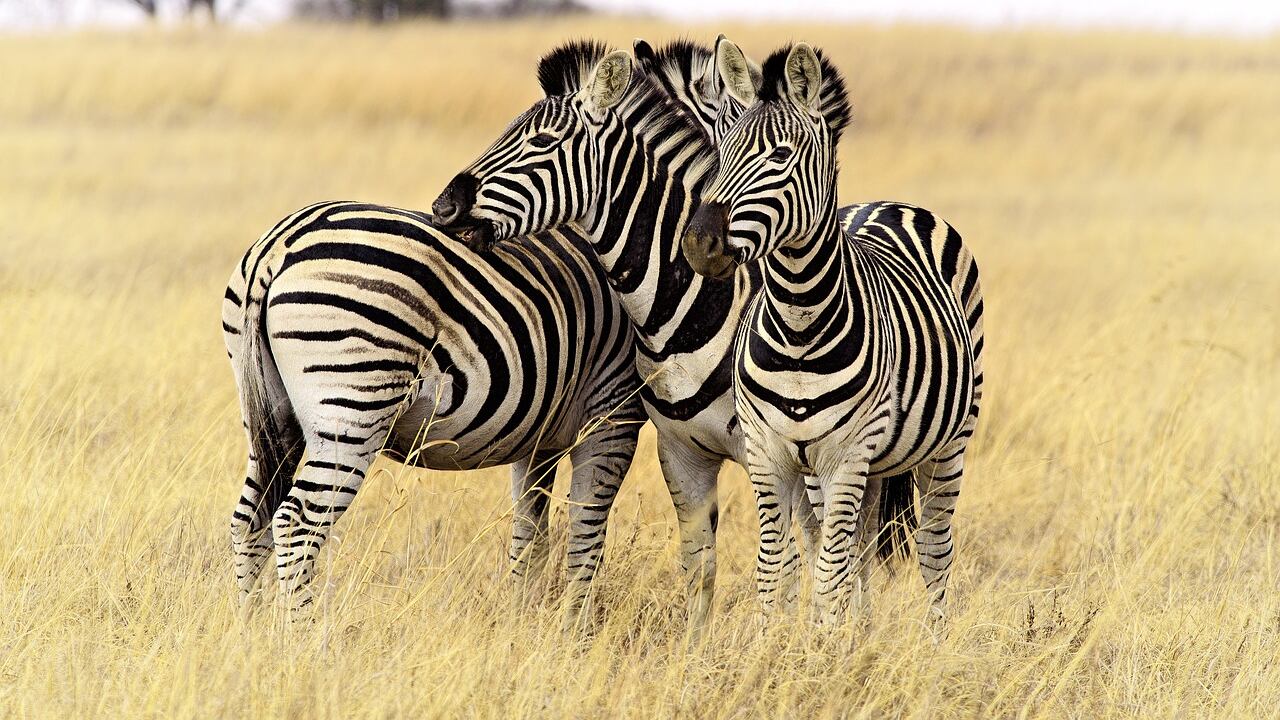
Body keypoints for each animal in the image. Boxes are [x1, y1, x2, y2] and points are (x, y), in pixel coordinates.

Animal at [222, 200, 646, 621]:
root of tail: (277, 245)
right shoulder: (614, 408)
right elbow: (586, 532)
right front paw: (575, 625)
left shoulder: (540, 436)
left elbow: (530, 535)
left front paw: (522, 619)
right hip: (353, 409)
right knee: (295, 524)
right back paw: (303, 634)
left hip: (273, 418)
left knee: (250, 520)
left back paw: (251, 628)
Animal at [682, 41, 985, 623]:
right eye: (721, 150)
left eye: (780, 157)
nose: (699, 244)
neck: (798, 325)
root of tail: (889, 202)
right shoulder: (769, 452)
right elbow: (776, 570)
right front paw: (778, 644)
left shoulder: (845, 454)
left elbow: (826, 576)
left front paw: (822, 644)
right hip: (865, 464)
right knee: (860, 546)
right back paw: (859, 630)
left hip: (949, 442)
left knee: (934, 549)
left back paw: (936, 635)